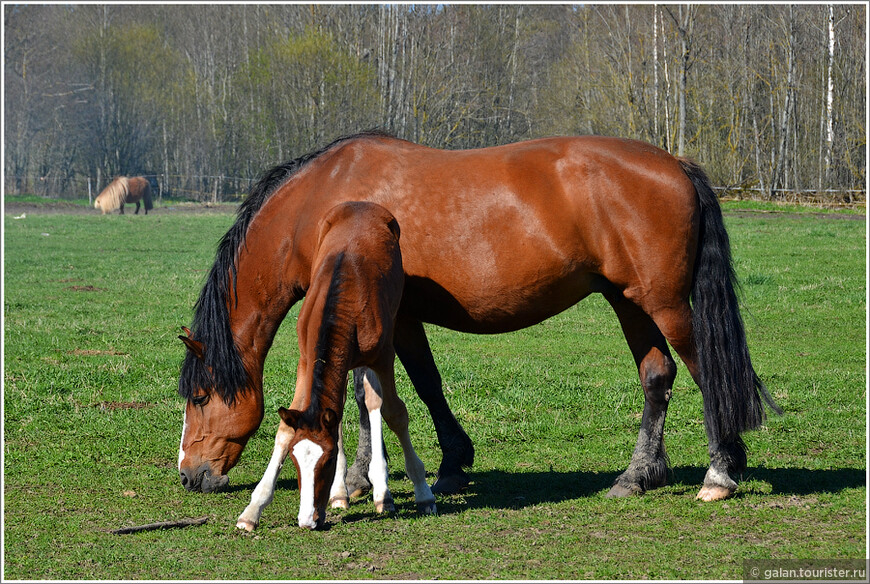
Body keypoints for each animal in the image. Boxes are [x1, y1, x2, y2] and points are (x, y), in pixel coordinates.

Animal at [177, 131, 784, 506]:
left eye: (200, 397)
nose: (190, 475)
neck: (327, 203)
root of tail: (675, 164)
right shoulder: (385, 318)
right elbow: (397, 386)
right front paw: (442, 462)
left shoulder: (387, 315)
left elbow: (393, 388)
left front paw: (368, 476)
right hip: (628, 301)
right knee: (658, 377)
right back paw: (639, 476)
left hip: (666, 304)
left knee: (707, 373)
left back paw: (721, 472)